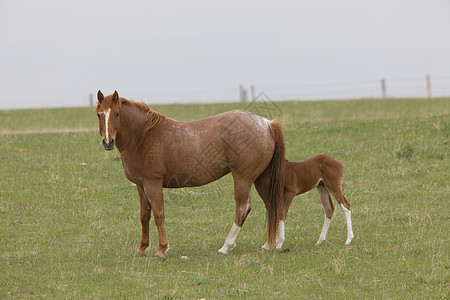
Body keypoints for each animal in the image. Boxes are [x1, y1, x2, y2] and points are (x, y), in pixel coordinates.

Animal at [94, 90, 284, 258]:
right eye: (99, 115)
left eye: (117, 114)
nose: (108, 142)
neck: (143, 137)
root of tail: (267, 124)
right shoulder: (141, 186)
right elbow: (144, 216)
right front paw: (141, 249)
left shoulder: (153, 183)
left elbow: (158, 215)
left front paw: (161, 250)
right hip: (262, 179)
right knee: (273, 205)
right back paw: (271, 245)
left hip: (243, 179)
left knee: (243, 209)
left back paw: (226, 247)